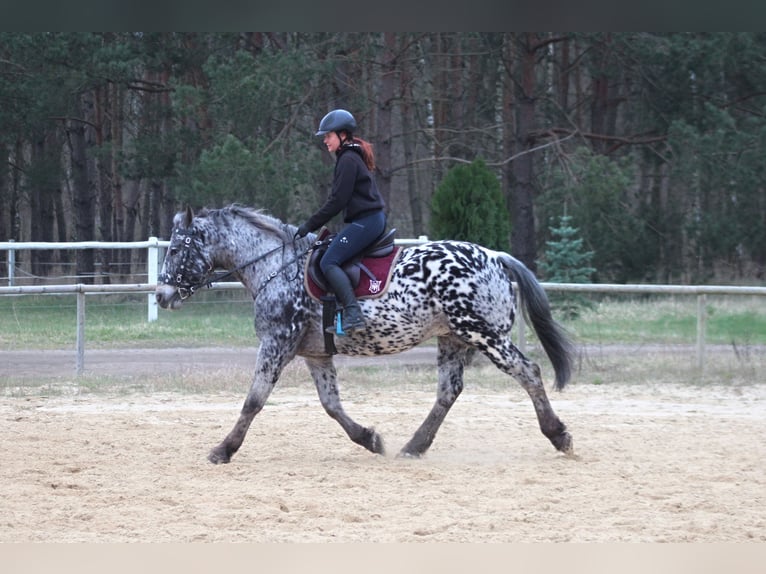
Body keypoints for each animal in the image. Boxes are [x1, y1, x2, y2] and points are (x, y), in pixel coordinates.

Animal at [156, 205, 576, 466]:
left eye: (175, 248)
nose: (162, 295)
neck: (277, 266)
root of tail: (495, 257)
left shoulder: (276, 344)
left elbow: (253, 401)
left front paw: (223, 449)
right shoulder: (315, 354)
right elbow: (331, 405)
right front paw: (370, 439)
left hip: (484, 334)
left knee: (528, 372)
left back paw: (558, 434)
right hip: (453, 339)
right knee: (448, 392)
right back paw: (413, 447)